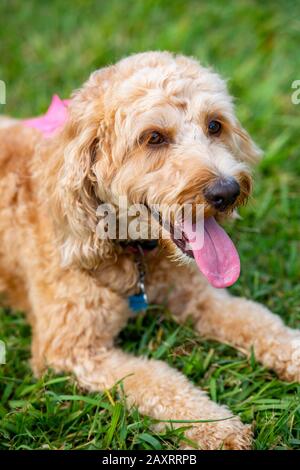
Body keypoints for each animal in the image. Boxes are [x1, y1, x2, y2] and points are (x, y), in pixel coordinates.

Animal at [0, 50, 300, 448]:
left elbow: (258, 321)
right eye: (153, 137)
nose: (227, 191)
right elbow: (155, 378)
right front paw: (216, 426)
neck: (136, 256)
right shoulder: (70, 350)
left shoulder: (199, 296)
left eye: (215, 125)